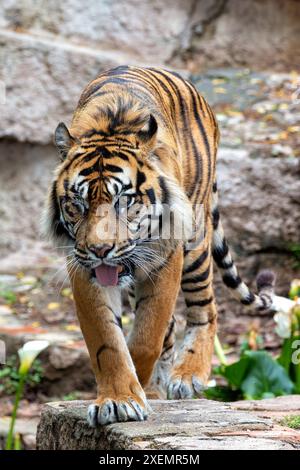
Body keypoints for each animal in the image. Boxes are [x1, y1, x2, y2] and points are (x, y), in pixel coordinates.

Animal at [43, 65, 276, 426]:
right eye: (77, 204)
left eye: (124, 201)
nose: (99, 250)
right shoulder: (83, 267)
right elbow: (107, 341)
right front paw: (120, 398)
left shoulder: (167, 256)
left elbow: (146, 336)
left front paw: (135, 390)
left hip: (196, 240)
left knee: (206, 308)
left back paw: (187, 375)